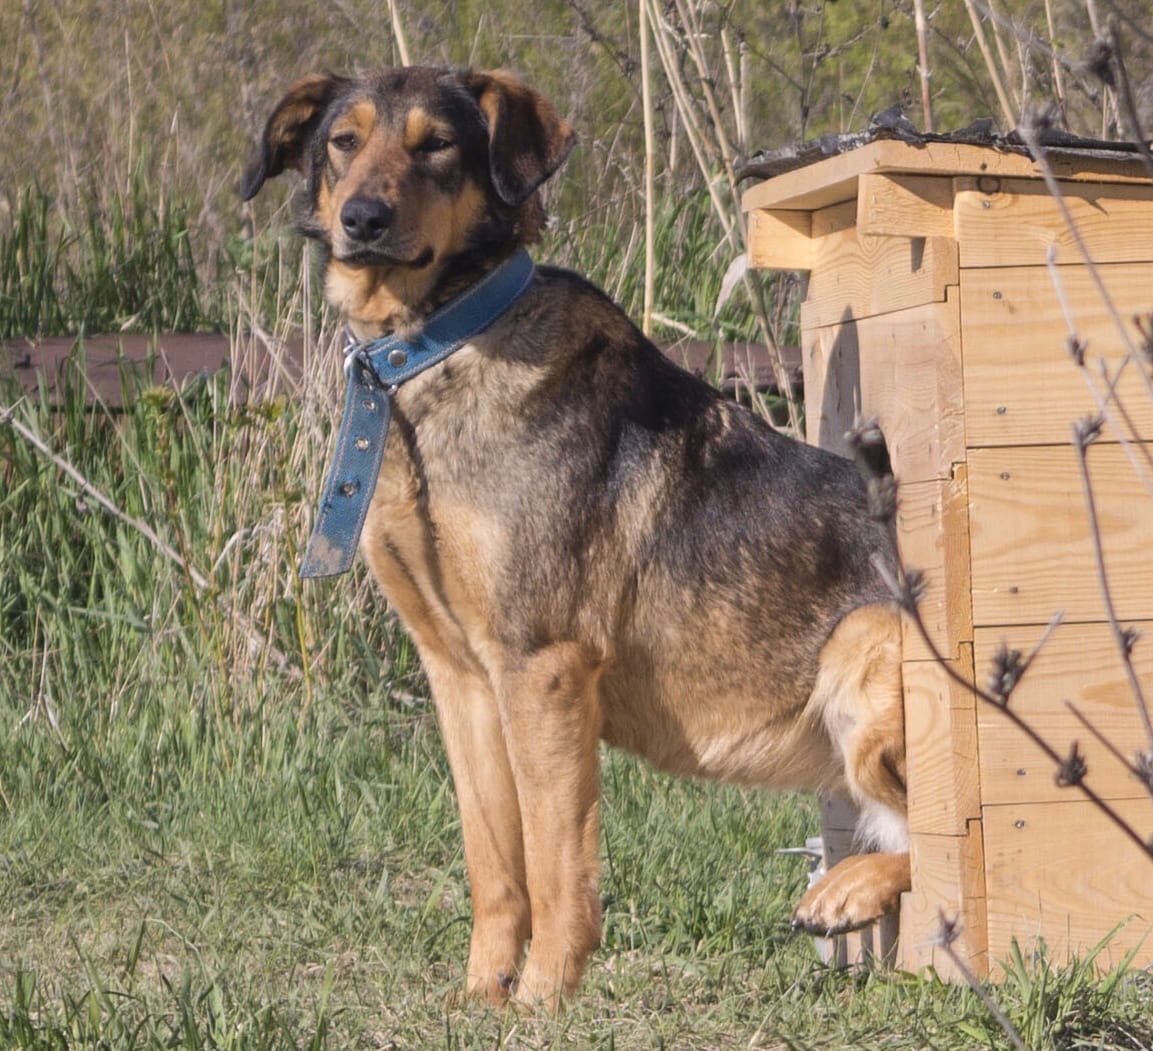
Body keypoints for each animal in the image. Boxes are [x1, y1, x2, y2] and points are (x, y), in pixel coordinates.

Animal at [243, 67, 908, 1009]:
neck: (437, 346)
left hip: (862, 639)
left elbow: (557, 862)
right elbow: (493, 859)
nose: (363, 220)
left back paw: (847, 888)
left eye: (434, 145)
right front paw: (481, 994)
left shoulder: (543, 666)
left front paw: (541, 999)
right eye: (343, 142)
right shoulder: (461, 676)